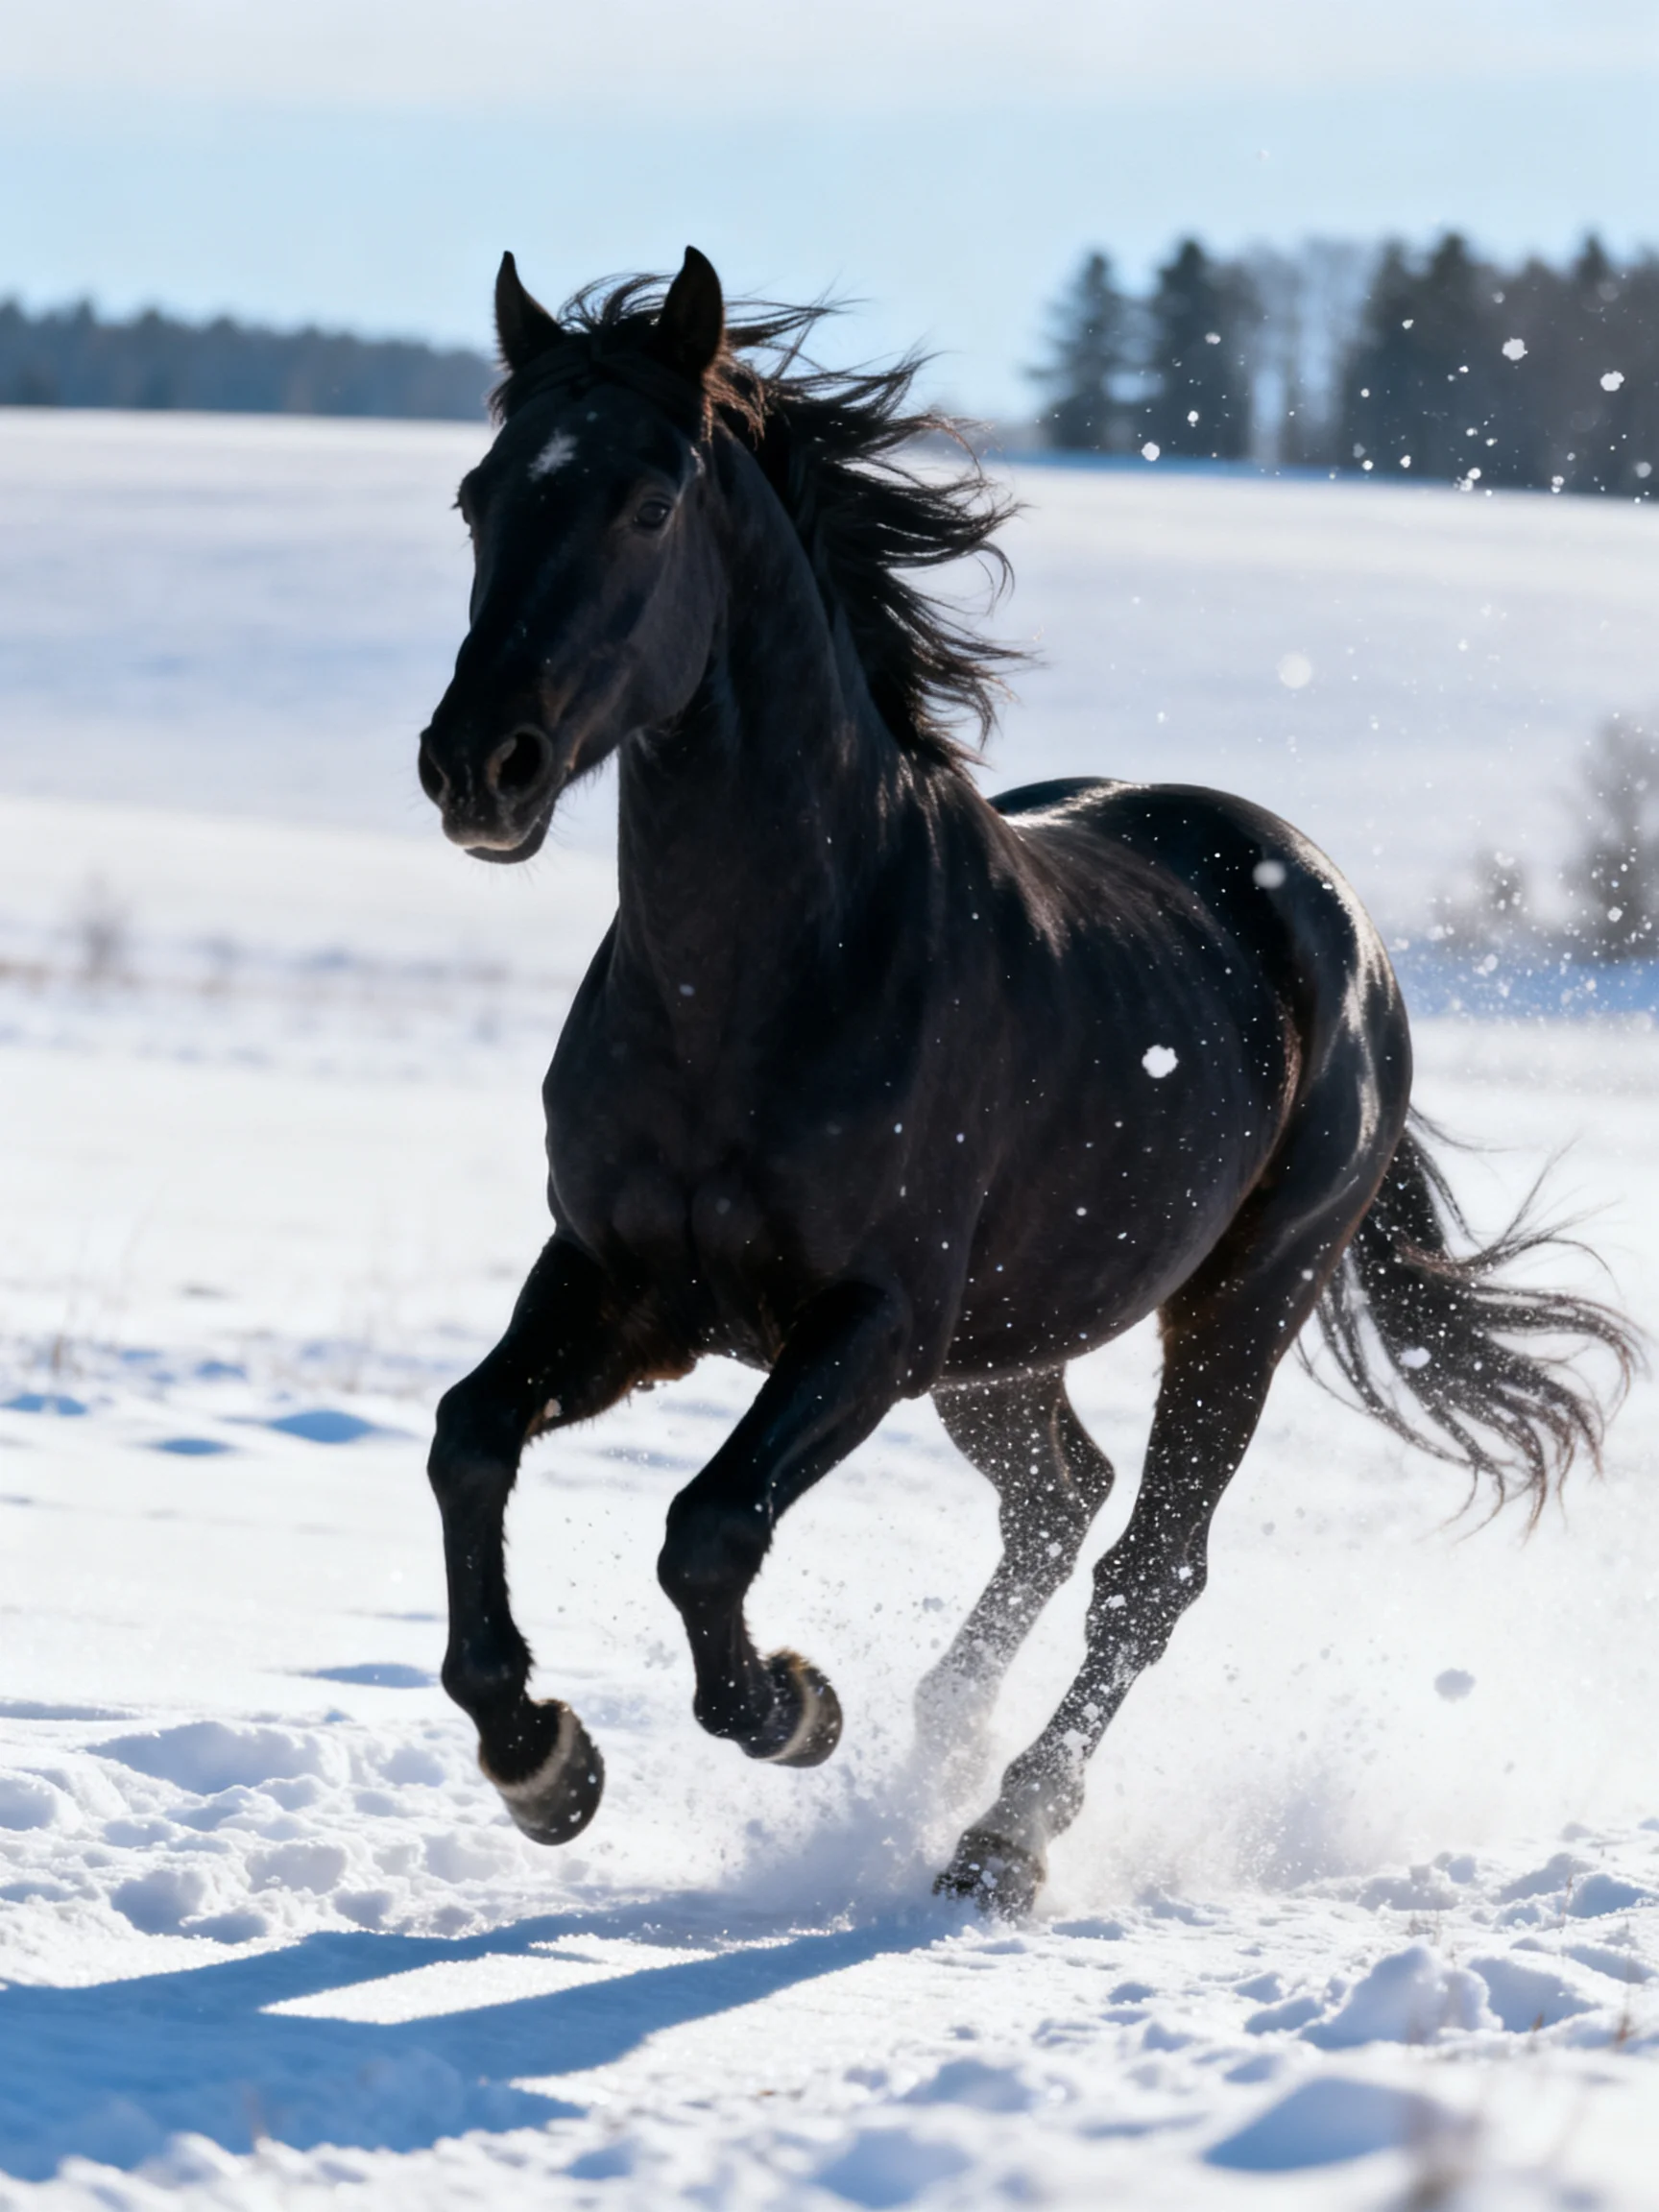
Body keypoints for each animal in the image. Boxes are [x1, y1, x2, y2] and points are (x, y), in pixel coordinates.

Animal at [415, 247, 1635, 1915]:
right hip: (1009, 1347)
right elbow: (469, 1441)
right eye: (479, 496)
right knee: (1060, 1495)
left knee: (1149, 1565)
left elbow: (709, 1525)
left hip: (1236, 1304)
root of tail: (1343, 926)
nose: (482, 767)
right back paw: (943, 1743)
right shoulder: (621, 1282)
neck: (762, 984)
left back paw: (999, 1836)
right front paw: (542, 1762)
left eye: (649, 504)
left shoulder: (870, 1321)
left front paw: (793, 1707)